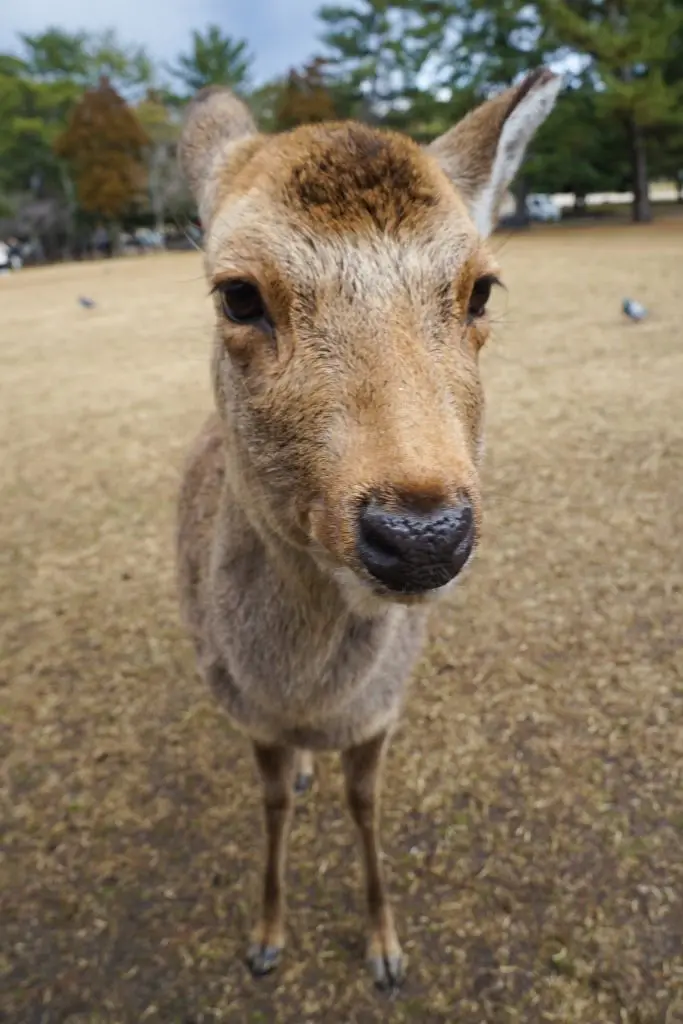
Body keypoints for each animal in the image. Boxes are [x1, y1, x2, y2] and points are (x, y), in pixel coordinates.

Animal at [176, 66, 561, 991]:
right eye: (237, 294)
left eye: (480, 288)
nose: (421, 533)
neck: (306, 696)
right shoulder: (244, 711)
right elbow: (269, 807)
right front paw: (265, 939)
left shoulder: (383, 707)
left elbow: (365, 807)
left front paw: (385, 950)